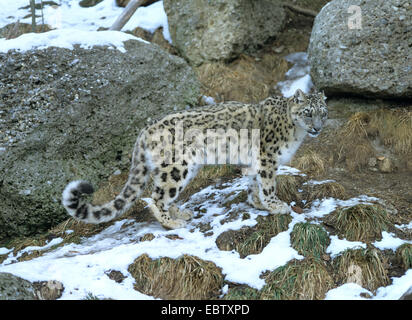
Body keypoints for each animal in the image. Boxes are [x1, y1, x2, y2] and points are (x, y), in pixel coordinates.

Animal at [62, 90, 328, 229]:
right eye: (308, 113)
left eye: (323, 113)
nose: (317, 127)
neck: (296, 132)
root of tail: (145, 130)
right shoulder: (267, 158)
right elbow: (269, 184)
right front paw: (276, 205)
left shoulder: (255, 161)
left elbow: (254, 184)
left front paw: (259, 204)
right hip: (177, 166)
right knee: (156, 198)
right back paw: (172, 222)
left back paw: (180, 214)